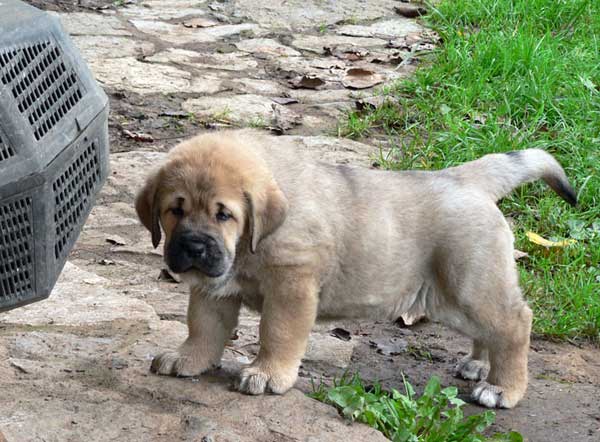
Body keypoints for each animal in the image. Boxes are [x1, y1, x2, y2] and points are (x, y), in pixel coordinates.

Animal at [135, 129, 576, 410]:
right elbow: (203, 328)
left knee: (515, 324)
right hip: (459, 294)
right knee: (491, 329)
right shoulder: (214, 288)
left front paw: (267, 374)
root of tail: (464, 178)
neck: (249, 245)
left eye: (223, 214)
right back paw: (481, 365)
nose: (193, 246)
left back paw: (503, 389)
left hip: (471, 282)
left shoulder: (291, 285)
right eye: (174, 210)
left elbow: (277, 333)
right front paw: (189, 359)